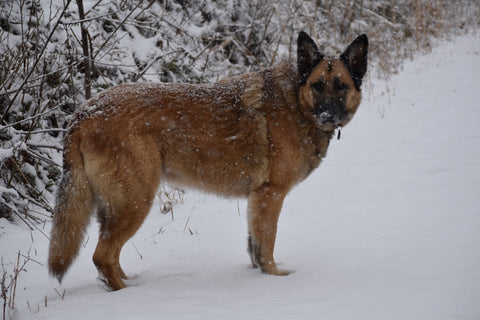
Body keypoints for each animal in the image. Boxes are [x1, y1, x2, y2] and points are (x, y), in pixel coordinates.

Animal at [48, 31, 370, 290]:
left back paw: (130, 282)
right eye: (318, 85)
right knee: (102, 256)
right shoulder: (271, 195)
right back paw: (127, 294)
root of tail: (82, 113)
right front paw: (275, 280)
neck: (295, 102)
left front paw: (259, 277)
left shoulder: (258, 200)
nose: (327, 115)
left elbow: (254, 247)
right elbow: (267, 244)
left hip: (119, 206)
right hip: (135, 202)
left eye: (341, 86)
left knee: (110, 256)